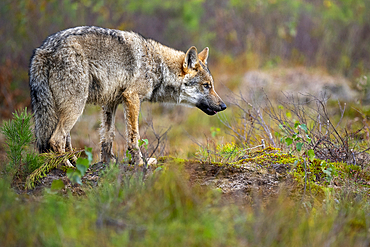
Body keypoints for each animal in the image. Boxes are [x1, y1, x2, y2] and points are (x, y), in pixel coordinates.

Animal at [28, 26, 227, 165]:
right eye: (206, 86)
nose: (224, 106)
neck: (158, 65)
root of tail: (43, 50)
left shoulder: (110, 102)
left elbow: (107, 137)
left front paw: (107, 163)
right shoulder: (132, 98)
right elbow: (134, 137)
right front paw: (139, 162)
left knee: (63, 139)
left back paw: (74, 164)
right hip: (76, 106)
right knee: (56, 139)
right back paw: (67, 167)